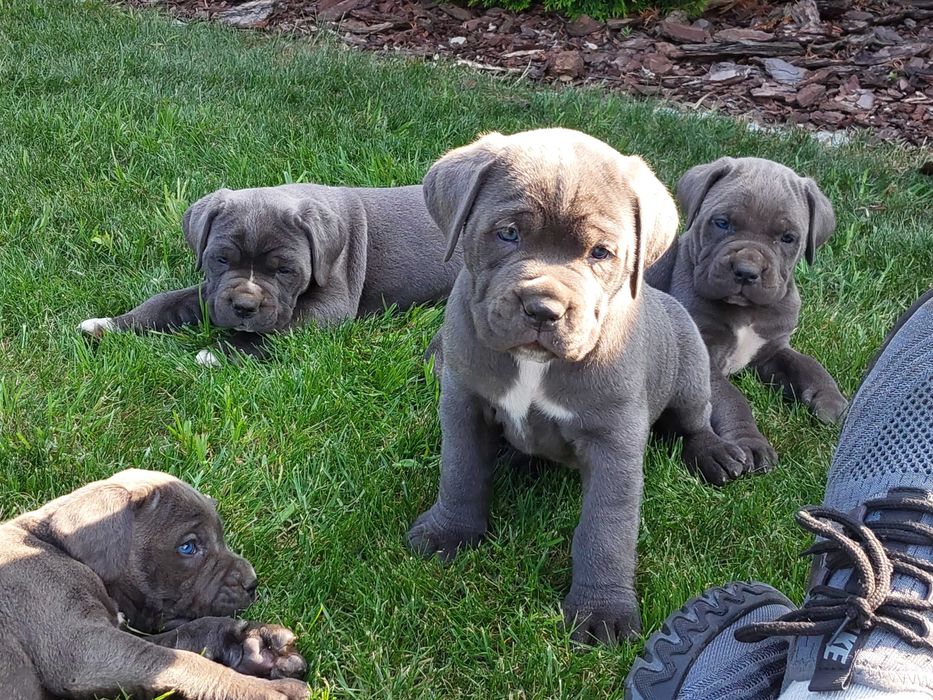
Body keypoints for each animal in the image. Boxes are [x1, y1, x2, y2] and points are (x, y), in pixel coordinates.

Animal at [644, 158, 848, 474]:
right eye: (722, 223)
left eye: (787, 238)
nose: (746, 271)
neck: (747, 312)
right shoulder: (705, 359)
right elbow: (732, 399)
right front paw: (750, 443)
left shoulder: (772, 350)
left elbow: (807, 365)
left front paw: (829, 399)